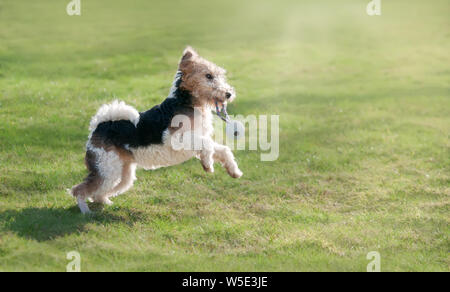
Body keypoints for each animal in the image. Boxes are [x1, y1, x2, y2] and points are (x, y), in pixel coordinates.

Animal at [69, 46, 243, 213]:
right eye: (208, 76)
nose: (229, 94)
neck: (186, 102)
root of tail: (98, 125)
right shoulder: (175, 138)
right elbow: (208, 145)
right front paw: (207, 165)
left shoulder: (197, 139)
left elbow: (222, 149)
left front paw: (234, 171)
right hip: (107, 170)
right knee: (79, 190)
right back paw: (86, 212)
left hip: (122, 174)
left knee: (97, 193)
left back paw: (106, 204)